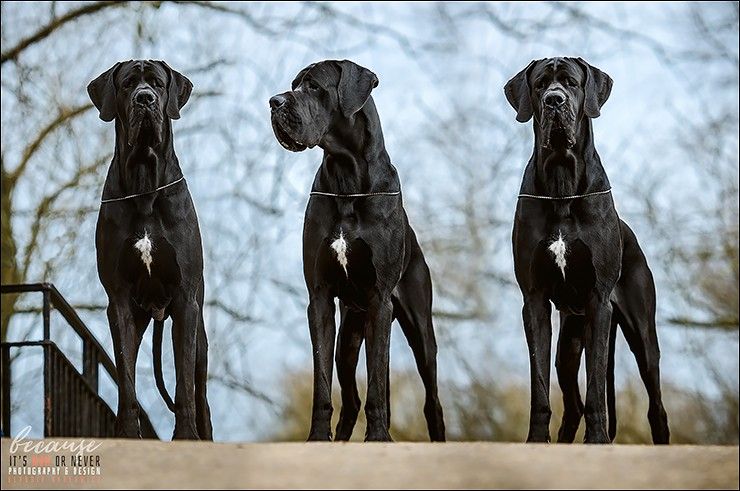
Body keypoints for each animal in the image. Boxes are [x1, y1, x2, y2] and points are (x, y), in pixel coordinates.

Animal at [88, 60, 212, 440]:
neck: (144, 185)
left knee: (201, 394)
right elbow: (125, 377)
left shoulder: (186, 301)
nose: (145, 99)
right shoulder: (119, 301)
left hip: (200, 336)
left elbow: (184, 383)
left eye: (157, 83)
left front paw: (186, 437)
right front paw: (128, 433)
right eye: (128, 84)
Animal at [269, 60, 445, 441]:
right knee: (350, 399)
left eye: (313, 86)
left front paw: (378, 437)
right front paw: (317, 438)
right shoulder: (320, 298)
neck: (346, 180)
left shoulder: (379, 299)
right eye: (294, 84)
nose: (274, 102)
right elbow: (322, 381)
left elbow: (378, 381)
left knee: (433, 401)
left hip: (420, 331)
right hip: (349, 336)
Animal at [505, 57, 669, 444]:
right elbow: (539, 384)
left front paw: (596, 440)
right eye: (540, 84)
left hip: (641, 332)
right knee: (572, 401)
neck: (562, 185)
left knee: (655, 405)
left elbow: (596, 385)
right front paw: (536, 440)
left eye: (572, 83)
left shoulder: (598, 300)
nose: (554, 101)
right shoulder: (534, 300)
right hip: (569, 340)